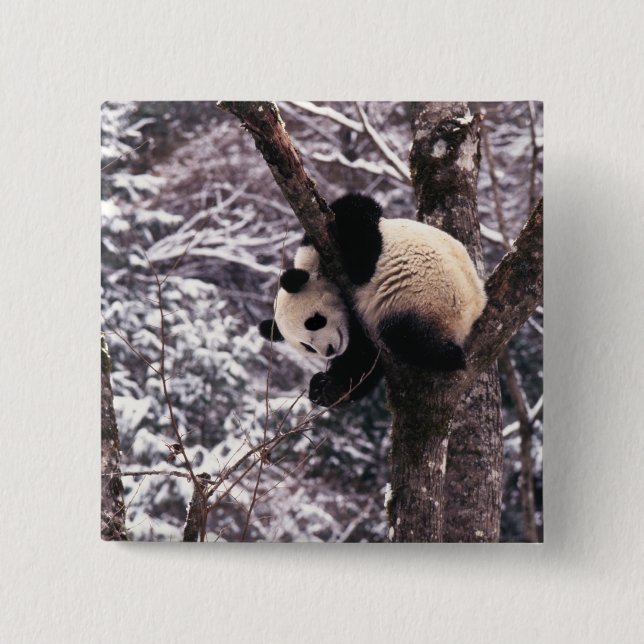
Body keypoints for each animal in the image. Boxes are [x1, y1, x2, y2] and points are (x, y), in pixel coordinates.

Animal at [259, 194, 487, 407]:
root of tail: (472, 313)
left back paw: (447, 356)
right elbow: (363, 357)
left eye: (314, 322)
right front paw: (326, 388)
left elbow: (356, 215)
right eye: (307, 347)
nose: (329, 351)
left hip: (426, 298)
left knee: (405, 336)